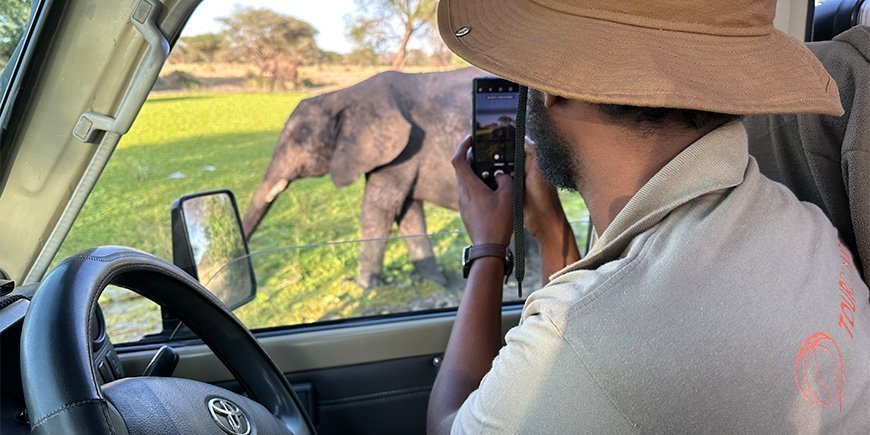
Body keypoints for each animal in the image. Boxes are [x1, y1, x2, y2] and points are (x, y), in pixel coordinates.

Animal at [245, 66, 488, 288]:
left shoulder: (404, 150)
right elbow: (407, 213)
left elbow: (377, 211)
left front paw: (361, 286)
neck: (342, 96)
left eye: (298, 141)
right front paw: (433, 283)